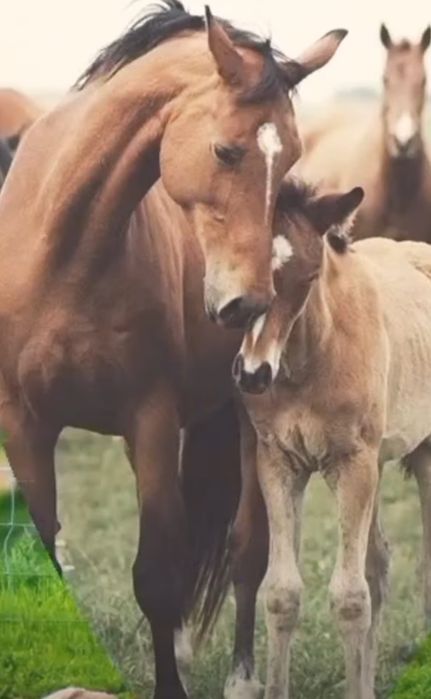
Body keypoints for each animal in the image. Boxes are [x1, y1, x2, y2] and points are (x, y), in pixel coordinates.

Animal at [0, 1, 347, 696]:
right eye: (225, 150)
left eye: (291, 156)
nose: (248, 304)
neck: (66, 254)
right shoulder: (24, 426)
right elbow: (48, 551)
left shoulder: (152, 421)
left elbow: (160, 573)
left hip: (244, 421)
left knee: (245, 551)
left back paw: (240, 676)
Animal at [231, 178, 431, 698]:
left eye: (307, 276)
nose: (254, 374)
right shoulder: (279, 462)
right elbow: (282, 593)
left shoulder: (352, 463)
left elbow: (349, 597)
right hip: (379, 463)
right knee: (379, 564)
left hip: (421, 456)